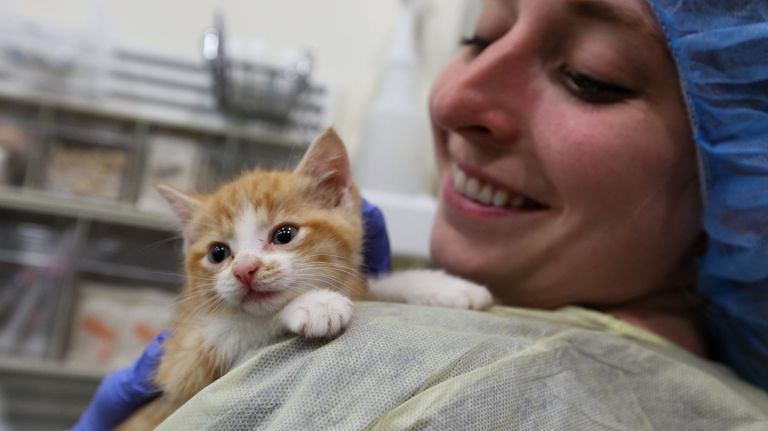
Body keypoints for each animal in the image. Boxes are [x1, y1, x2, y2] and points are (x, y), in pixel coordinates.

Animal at [118, 129, 492, 431]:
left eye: (284, 234)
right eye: (219, 253)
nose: (244, 269)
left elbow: (378, 286)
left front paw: (448, 287)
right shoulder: (181, 363)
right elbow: (240, 325)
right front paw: (316, 303)